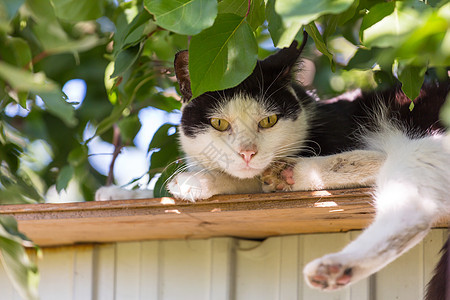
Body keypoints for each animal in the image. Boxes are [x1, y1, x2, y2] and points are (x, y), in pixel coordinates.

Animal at [96, 37, 450, 296]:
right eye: (219, 123)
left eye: (269, 121)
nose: (247, 153)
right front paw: (117, 194)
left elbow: (245, 179)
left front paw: (195, 181)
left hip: (419, 141)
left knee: (406, 204)